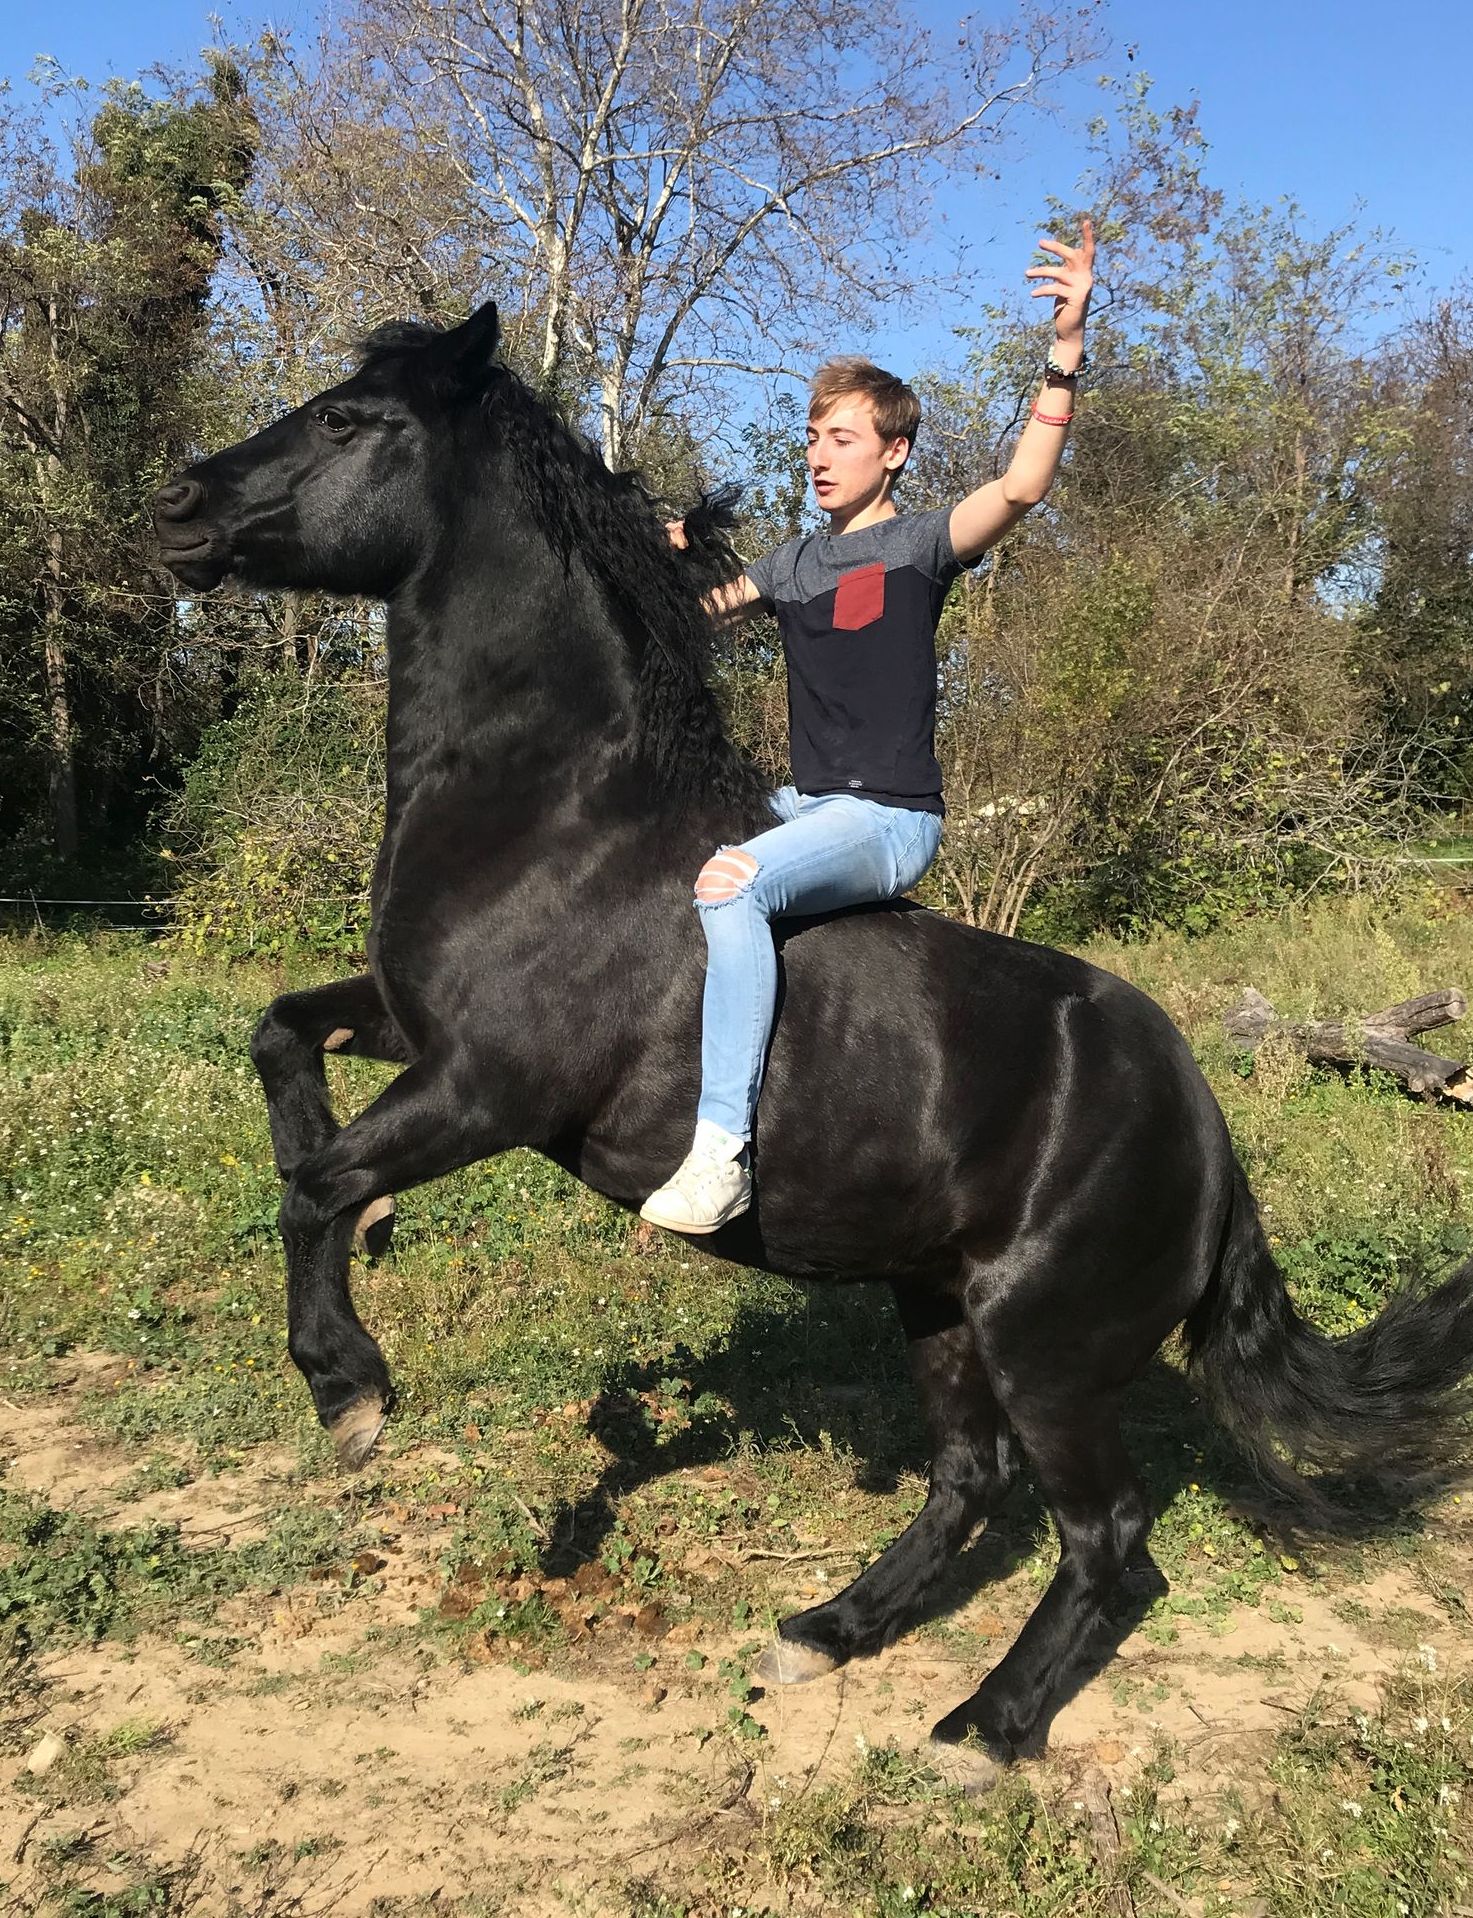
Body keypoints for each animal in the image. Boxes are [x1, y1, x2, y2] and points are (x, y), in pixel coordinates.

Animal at [153, 302, 1473, 1777]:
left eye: (344, 419)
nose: (177, 505)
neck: (555, 814)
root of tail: (1207, 1134)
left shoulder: (490, 1088)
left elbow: (311, 1186)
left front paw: (351, 1390)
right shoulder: (409, 1026)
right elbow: (281, 1046)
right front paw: (373, 1261)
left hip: (1046, 1348)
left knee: (1111, 1542)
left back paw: (983, 1725)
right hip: (939, 1305)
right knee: (968, 1483)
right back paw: (829, 1627)